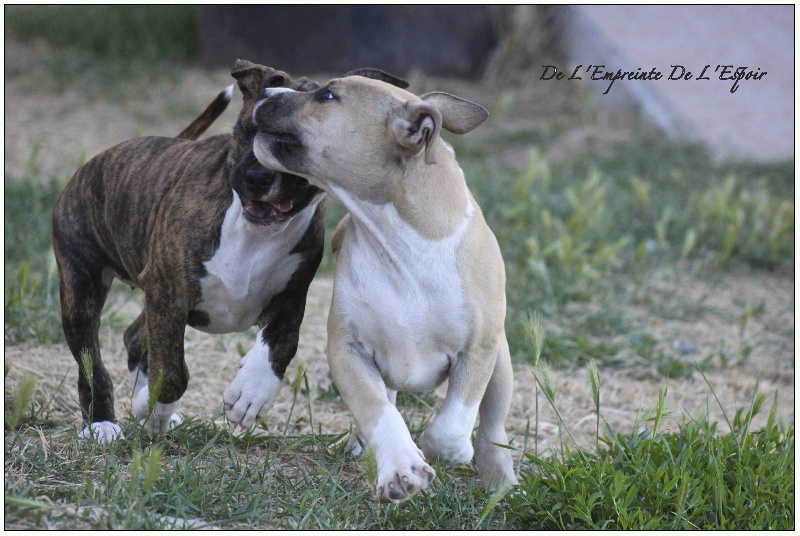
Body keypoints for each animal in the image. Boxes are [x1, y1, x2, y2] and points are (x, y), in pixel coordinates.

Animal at [253, 73, 520, 500]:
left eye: (327, 95)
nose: (264, 91)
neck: (400, 243)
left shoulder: (478, 351)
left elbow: (450, 428)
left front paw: (446, 452)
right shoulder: (348, 351)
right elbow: (376, 408)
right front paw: (400, 466)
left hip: (501, 366)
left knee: (491, 425)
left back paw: (500, 479)